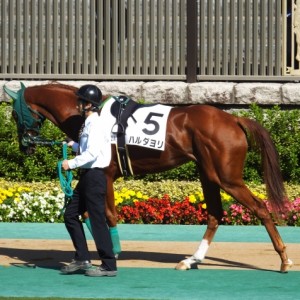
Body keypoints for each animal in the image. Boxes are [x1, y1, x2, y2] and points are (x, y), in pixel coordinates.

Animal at [3, 81, 292, 272]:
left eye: (15, 113)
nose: (25, 146)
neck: (89, 114)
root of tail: (234, 120)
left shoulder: (106, 173)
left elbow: (107, 215)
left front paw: (113, 252)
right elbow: (84, 213)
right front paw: (85, 254)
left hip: (227, 178)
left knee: (260, 208)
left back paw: (284, 259)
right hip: (208, 174)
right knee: (214, 214)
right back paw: (191, 260)